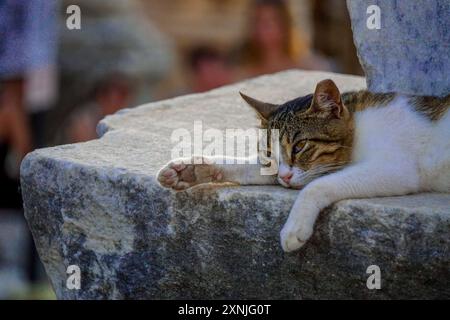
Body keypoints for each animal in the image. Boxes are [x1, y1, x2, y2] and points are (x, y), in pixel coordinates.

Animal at [157, 79, 450, 252]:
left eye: (299, 147)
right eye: (269, 153)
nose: (285, 178)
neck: (358, 127)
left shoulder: (395, 168)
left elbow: (316, 186)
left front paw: (294, 228)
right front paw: (190, 169)